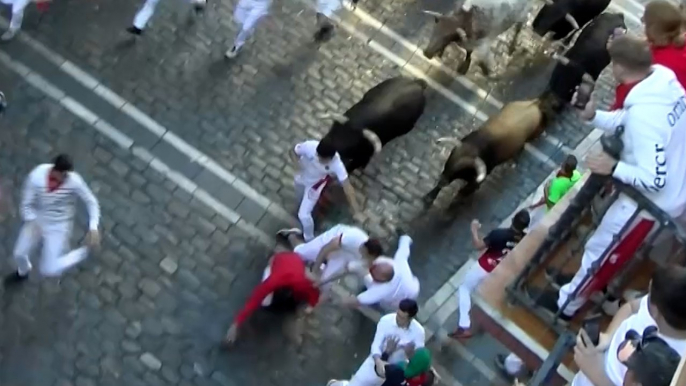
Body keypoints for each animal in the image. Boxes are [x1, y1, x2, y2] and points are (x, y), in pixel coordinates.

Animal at [424, 0, 580, 75]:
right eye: (435, 28)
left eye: (448, 35)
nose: (427, 52)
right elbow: (468, 53)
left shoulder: (482, 45)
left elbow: (474, 56)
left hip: (522, 16)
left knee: (519, 27)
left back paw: (512, 45)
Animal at [424, 98, 552, 204]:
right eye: (449, 159)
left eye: (461, 169)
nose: (442, 181)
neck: (476, 145)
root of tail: (534, 103)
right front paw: (429, 197)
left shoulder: (477, 180)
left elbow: (463, 193)